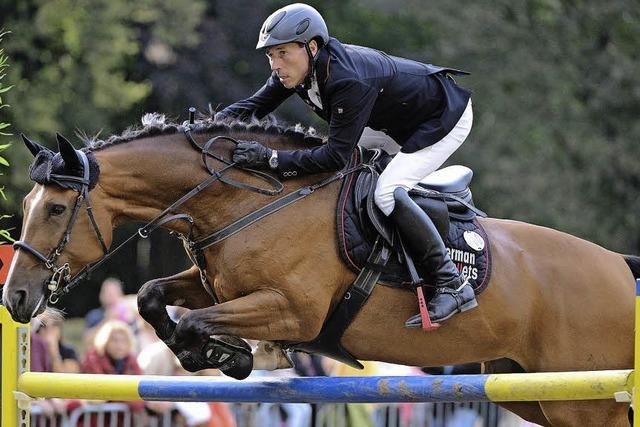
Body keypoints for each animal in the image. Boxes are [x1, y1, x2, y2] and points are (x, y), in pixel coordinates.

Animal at [2, 114, 636, 427]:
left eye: (55, 209)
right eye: (29, 205)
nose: (17, 299)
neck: (243, 201)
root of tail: (619, 269)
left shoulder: (293, 310)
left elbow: (195, 323)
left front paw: (230, 357)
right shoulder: (213, 285)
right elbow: (153, 297)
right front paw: (222, 357)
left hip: (583, 399)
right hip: (531, 389)